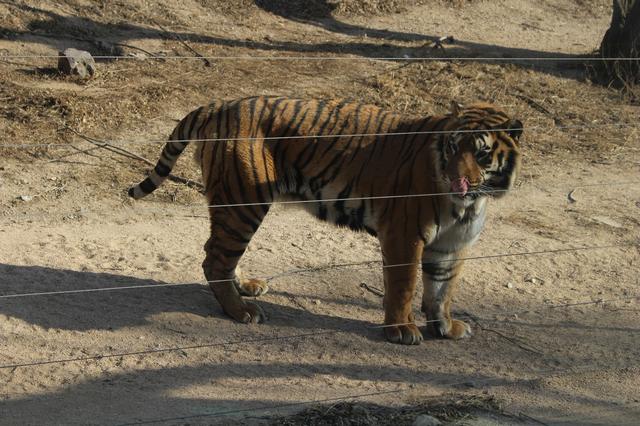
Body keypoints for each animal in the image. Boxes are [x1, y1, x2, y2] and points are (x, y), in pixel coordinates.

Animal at [127, 95, 524, 344]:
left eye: (482, 154)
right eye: (453, 147)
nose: (458, 181)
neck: (470, 202)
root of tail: (220, 105)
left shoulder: (451, 244)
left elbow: (441, 291)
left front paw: (446, 327)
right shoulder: (404, 235)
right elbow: (404, 285)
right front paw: (401, 331)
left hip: (237, 206)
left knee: (218, 251)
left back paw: (246, 288)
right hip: (243, 201)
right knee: (214, 258)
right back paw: (241, 311)